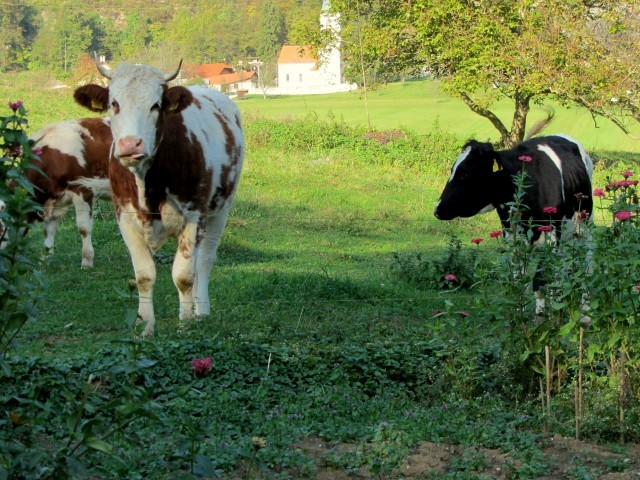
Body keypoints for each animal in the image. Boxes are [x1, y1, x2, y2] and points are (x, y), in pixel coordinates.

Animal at [28, 116, 112, 266]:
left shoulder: (83, 190)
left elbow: (84, 228)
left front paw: (87, 260)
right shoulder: (54, 200)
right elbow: (49, 229)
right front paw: (45, 259)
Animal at [73, 56, 245, 336]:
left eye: (156, 105)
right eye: (114, 103)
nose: (131, 144)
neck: (148, 184)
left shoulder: (193, 217)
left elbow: (184, 276)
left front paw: (186, 323)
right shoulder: (125, 218)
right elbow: (144, 276)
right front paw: (145, 325)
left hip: (221, 209)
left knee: (204, 261)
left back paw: (201, 310)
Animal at [432, 135, 592, 316]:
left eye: (465, 173)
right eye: (453, 169)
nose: (437, 210)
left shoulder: (553, 234)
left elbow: (542, 282)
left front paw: (547, 319)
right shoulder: (510, 233)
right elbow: (518, 280)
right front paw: (521, 314)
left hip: (585, 223)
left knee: (585, 265)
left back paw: (584, 312)